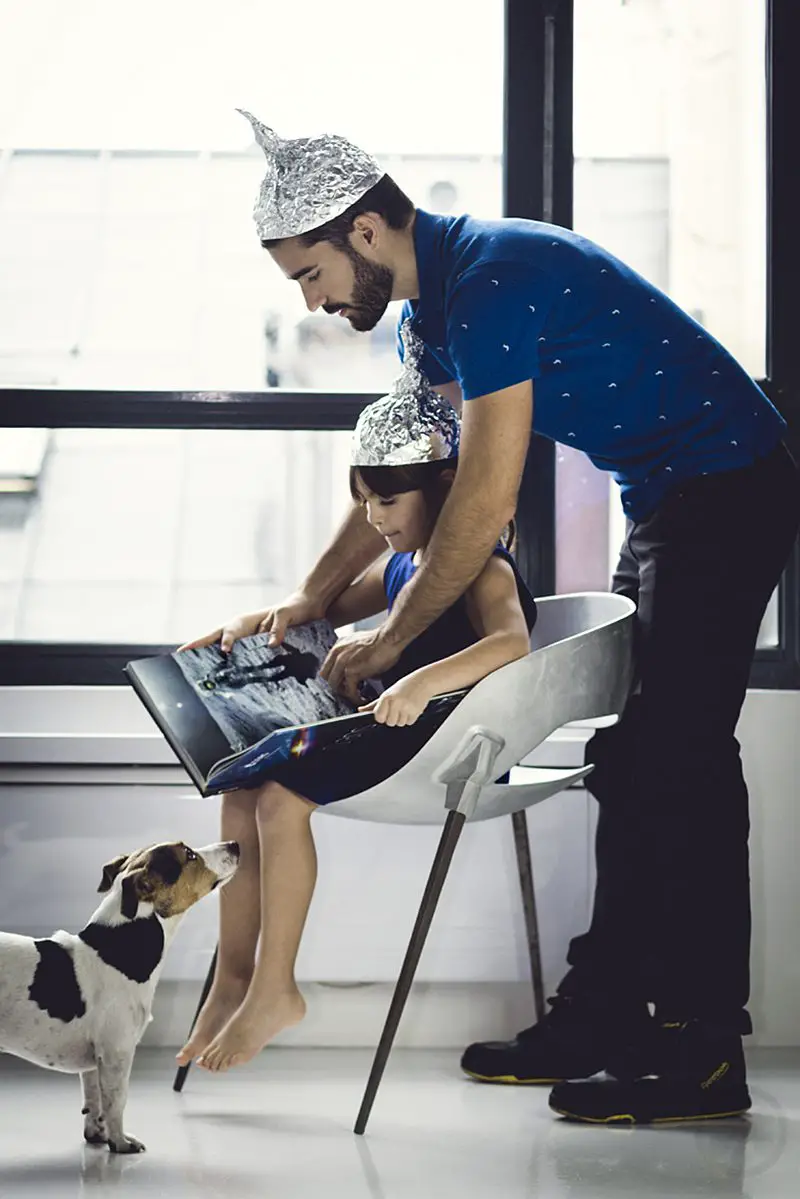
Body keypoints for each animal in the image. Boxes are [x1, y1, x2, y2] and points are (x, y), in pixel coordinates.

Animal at [0, 839, 239, 1155]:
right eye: (189, 854)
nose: (235, 844)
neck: (118, 950)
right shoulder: (117, 1052)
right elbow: (116, 1102)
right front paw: (120, 1142)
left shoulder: (95, 1062)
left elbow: (94, 1101)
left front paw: (98, 1135)